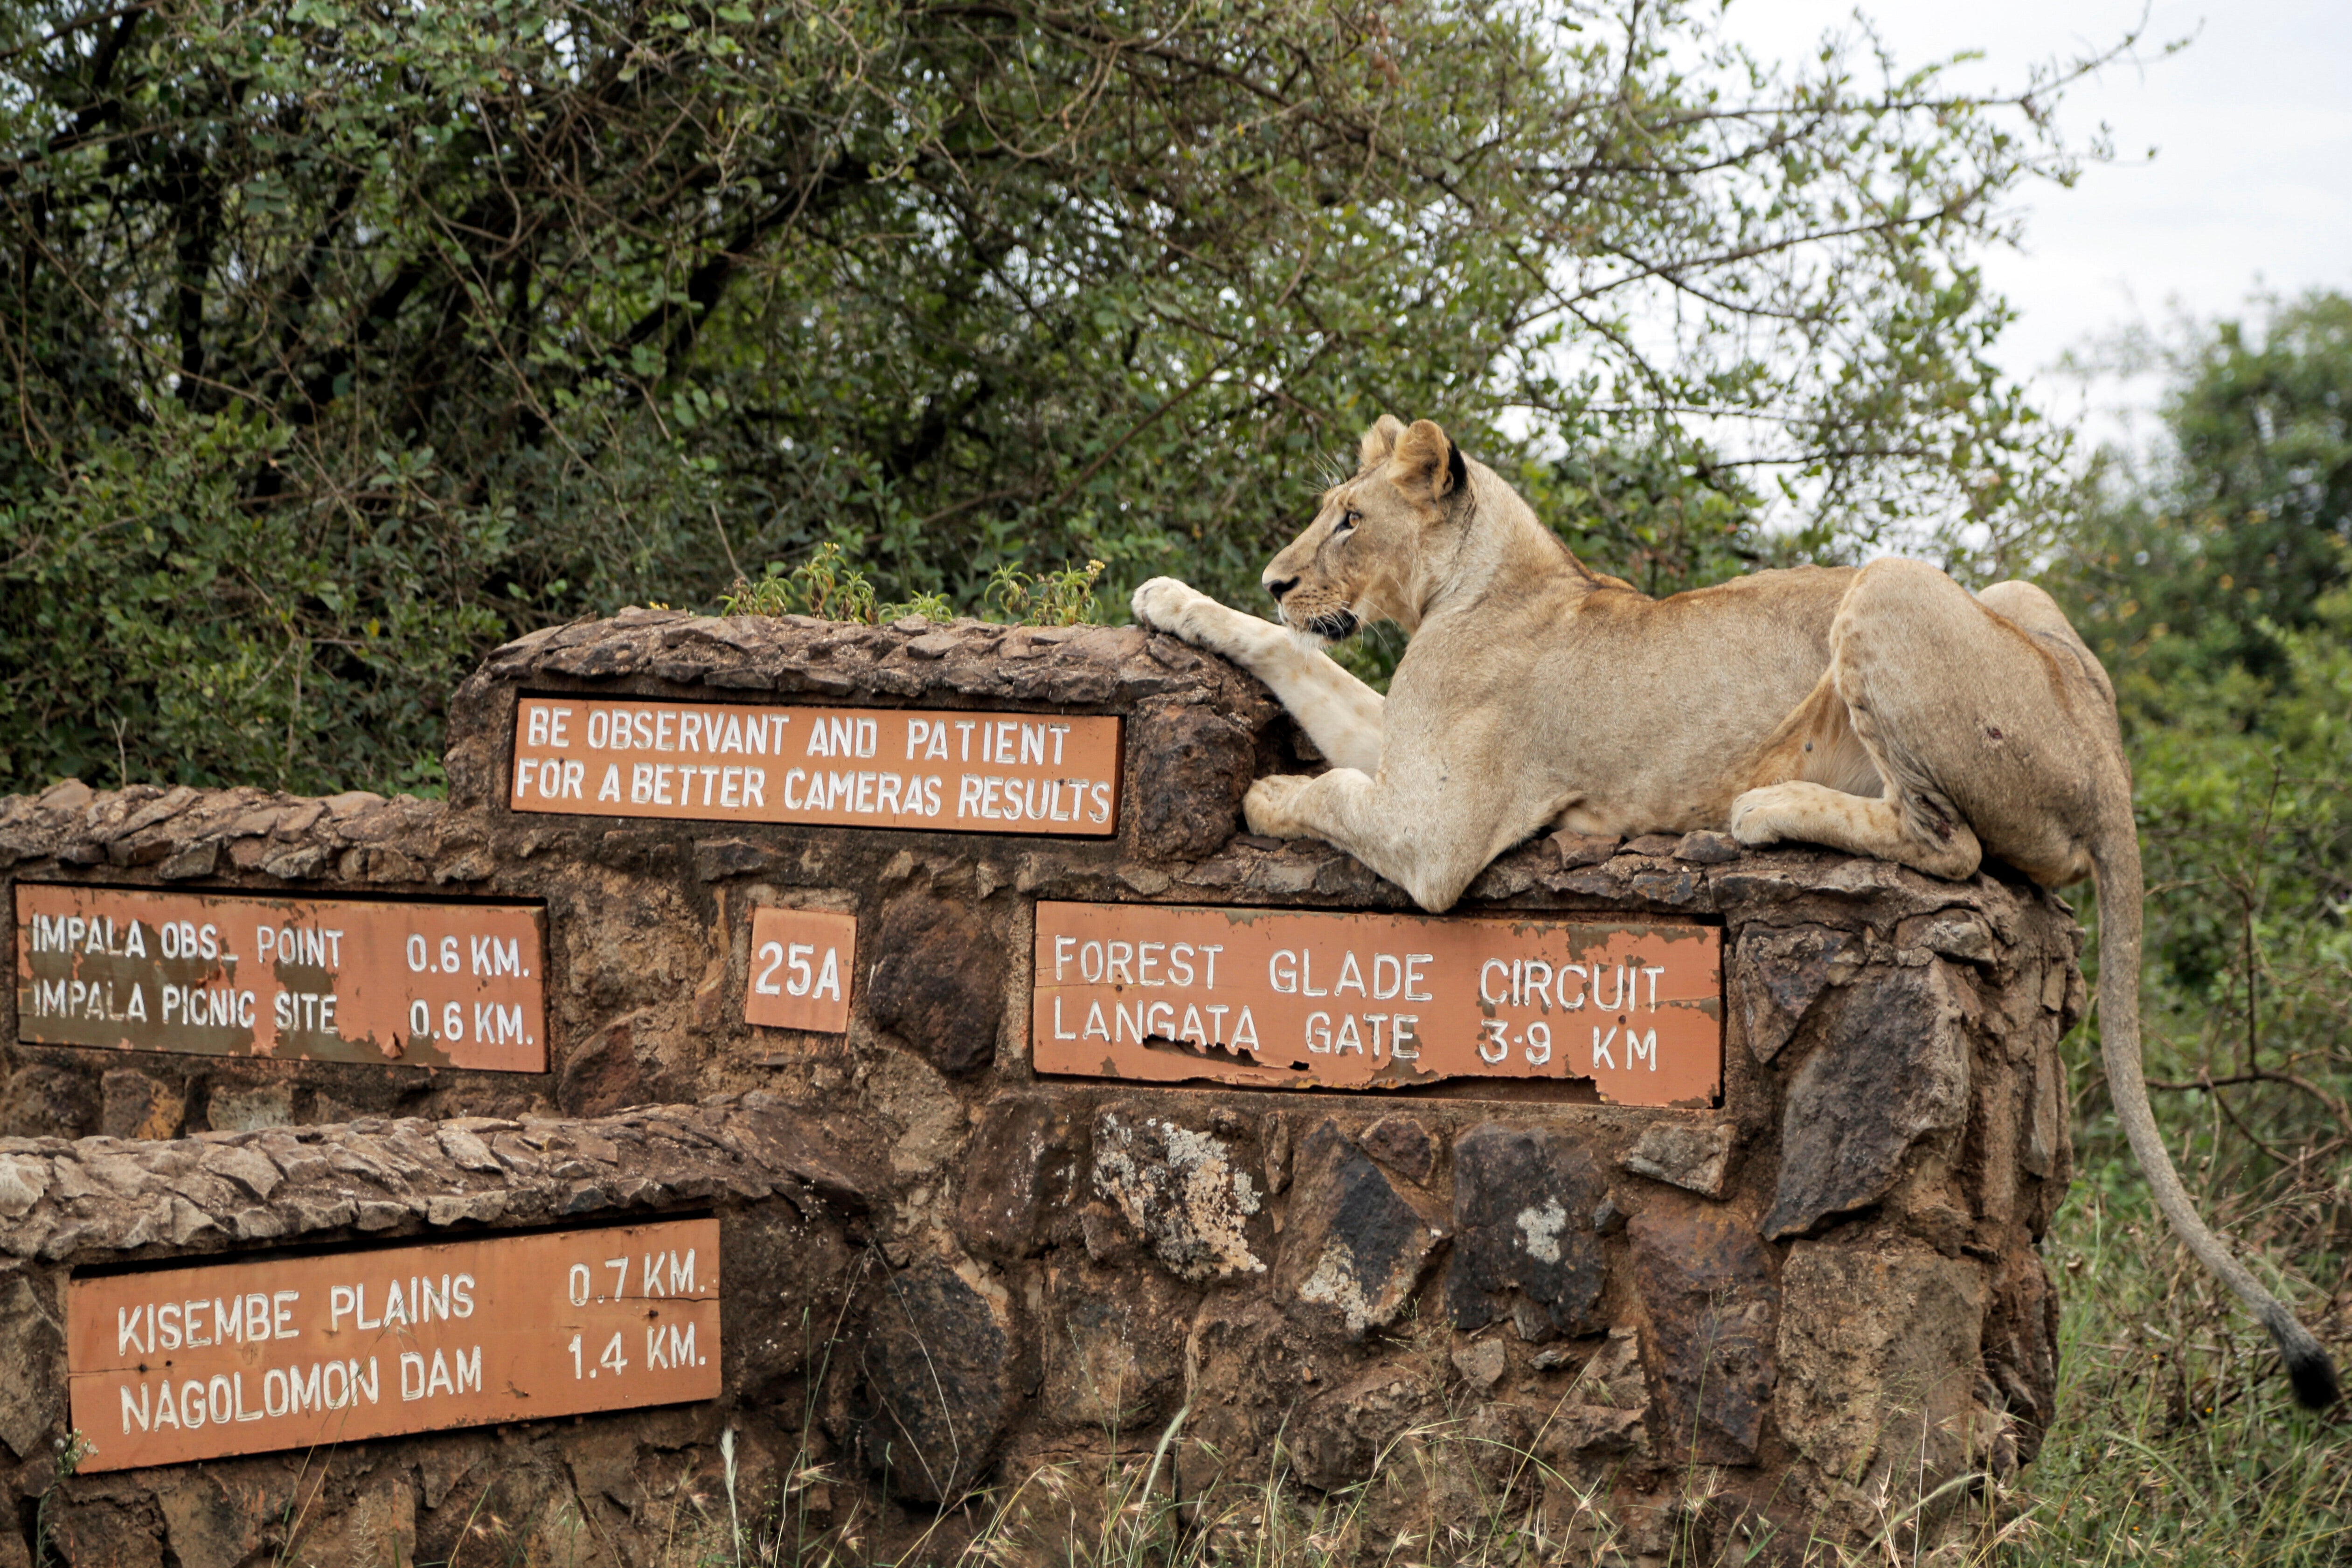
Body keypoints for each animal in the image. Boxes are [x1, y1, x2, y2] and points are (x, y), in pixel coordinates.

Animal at [1132, 413, 2339, 1409]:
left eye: (1350, 517)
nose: (1278, 576)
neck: (1483, 578)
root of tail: (2107, 759)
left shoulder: (1437, 831)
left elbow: (1328, 789)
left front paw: (1260, 794)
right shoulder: (1402, 748)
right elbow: (1293, 661)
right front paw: (1167, 598)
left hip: (1889, 588)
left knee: (1946, 843)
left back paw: (1759, 809)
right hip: (2009, 597)